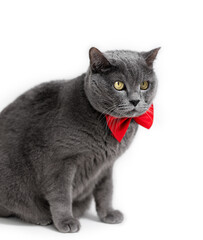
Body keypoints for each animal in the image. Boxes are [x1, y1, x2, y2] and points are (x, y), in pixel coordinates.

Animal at [0, 47, 159, 232]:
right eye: (118, 85)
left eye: (144, 85)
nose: (135, 100)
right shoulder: (60, 161)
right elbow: (61, 195)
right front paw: (66, 222)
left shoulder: (106, 166)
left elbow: (106, 191)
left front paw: (108, 214)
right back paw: (41, 218)